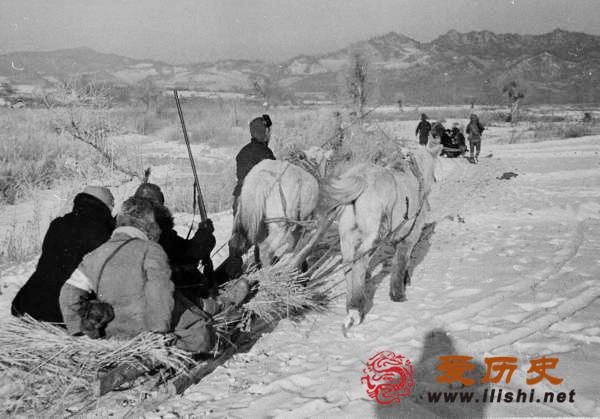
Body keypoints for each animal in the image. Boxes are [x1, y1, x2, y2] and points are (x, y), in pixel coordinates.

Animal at [322, 144, 441, 330]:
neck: (415, 176)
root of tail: (362, 177)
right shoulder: (409, 237)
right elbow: (400, 263)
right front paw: (398, 294)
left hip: (346, 237)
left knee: (348, 265)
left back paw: (351, 305)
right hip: (372, 236)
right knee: (359, 263)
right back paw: (356, 310)